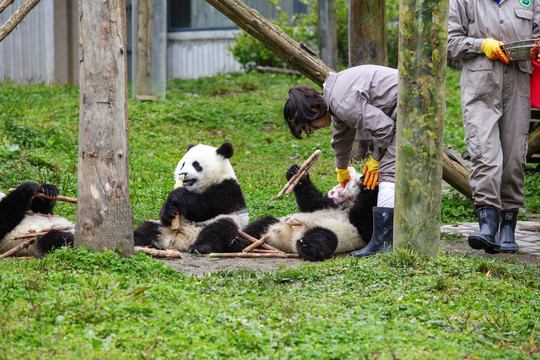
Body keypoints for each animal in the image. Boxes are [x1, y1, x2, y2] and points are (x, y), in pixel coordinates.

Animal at [230, 165, 378, 262]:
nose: (333, 191)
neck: (347, 203)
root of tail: (284, 241)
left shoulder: (356, 225)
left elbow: (365, 223)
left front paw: (370, 185)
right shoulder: (329, 204)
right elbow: (311, 203)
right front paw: (297, 172)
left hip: (336, 233)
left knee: (324, 238)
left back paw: (306, 248)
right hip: (273, 223)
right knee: (257, 226)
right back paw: (239, 242)